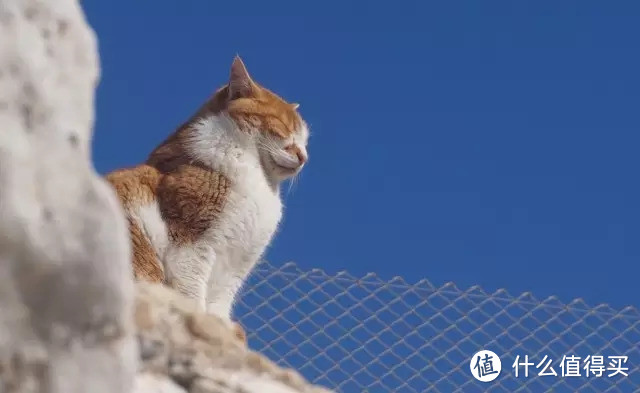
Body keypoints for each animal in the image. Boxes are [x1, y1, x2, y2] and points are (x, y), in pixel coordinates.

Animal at [105, 55, 310, 336]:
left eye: (305, 141)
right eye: (283, 128)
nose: (304, 157)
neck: (262, 183)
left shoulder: (236, 267)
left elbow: (219, 307)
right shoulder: (192, 247)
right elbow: (193, 298)